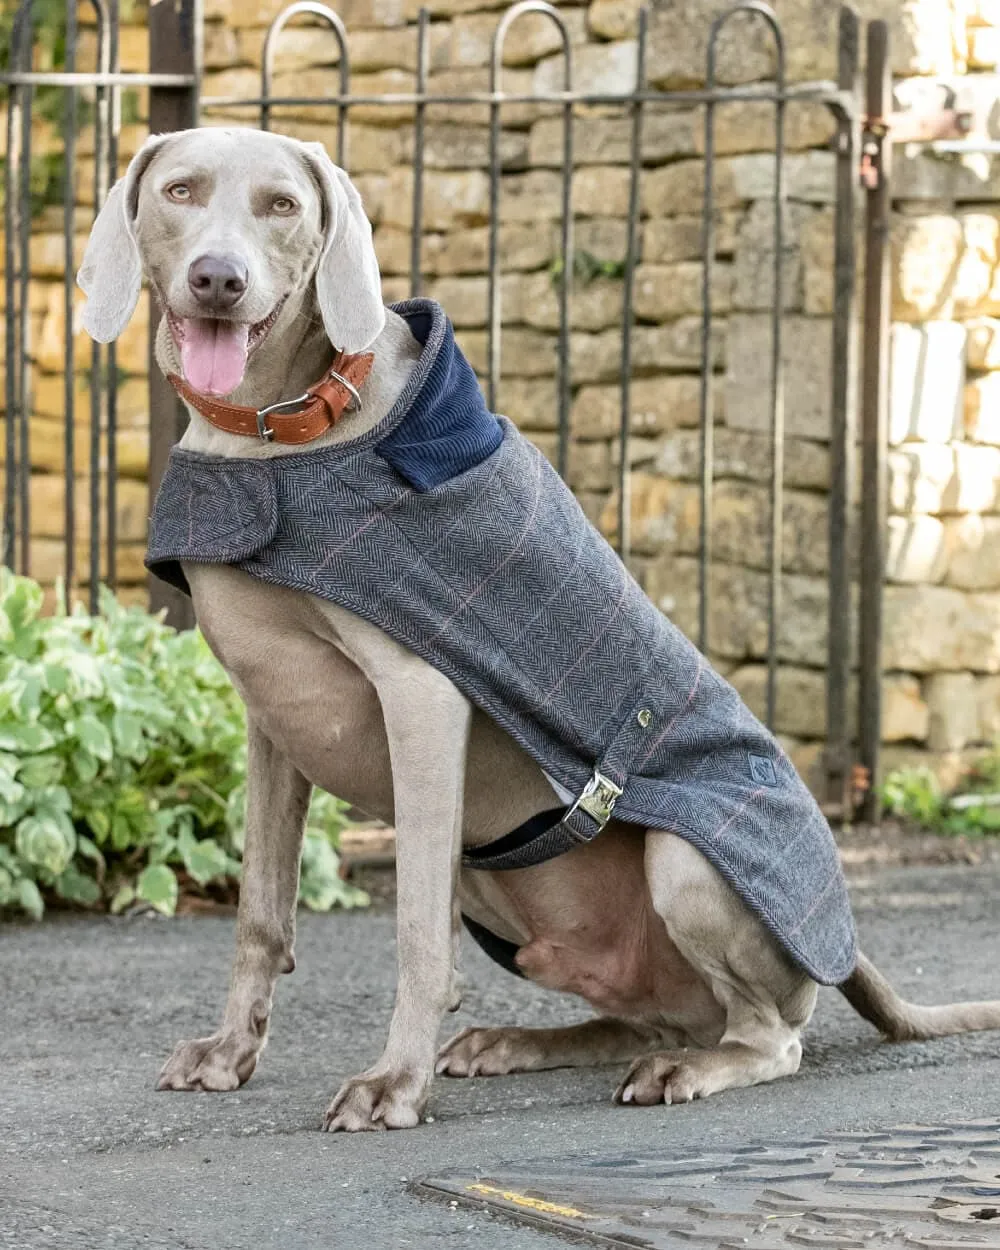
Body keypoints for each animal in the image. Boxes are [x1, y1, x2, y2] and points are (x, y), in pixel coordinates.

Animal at [78, 129, 1000, 1135]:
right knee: (657, 1015)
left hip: (683, 865)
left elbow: (415, 931)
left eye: (281, 205)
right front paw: (230, 1052)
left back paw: (686, 1069)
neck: (274, 437)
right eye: (180, 190)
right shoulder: (272, 719)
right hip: (503, 880)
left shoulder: (423, 697)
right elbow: (260, 909)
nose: (219, 280)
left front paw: (393, 1085)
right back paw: (519, 1043)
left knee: (768, 1037)